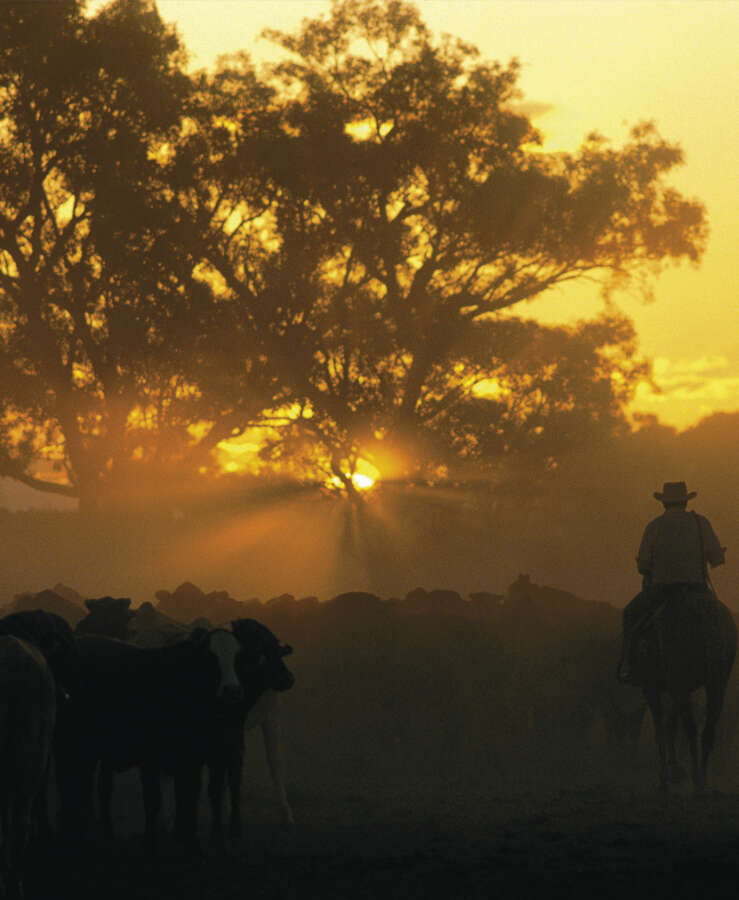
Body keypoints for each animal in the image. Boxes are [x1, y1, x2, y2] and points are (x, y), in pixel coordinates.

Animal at [628, 592, 736, 788]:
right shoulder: (676, 689)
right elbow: (670, 721)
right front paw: (675, 769)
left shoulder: (652, 687)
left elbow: (661, 725)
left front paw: (666, 775)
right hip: (717, 683)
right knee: (707, 728)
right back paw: (701, 780)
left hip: (681, 684)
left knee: (690, 728)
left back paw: (695, 779)